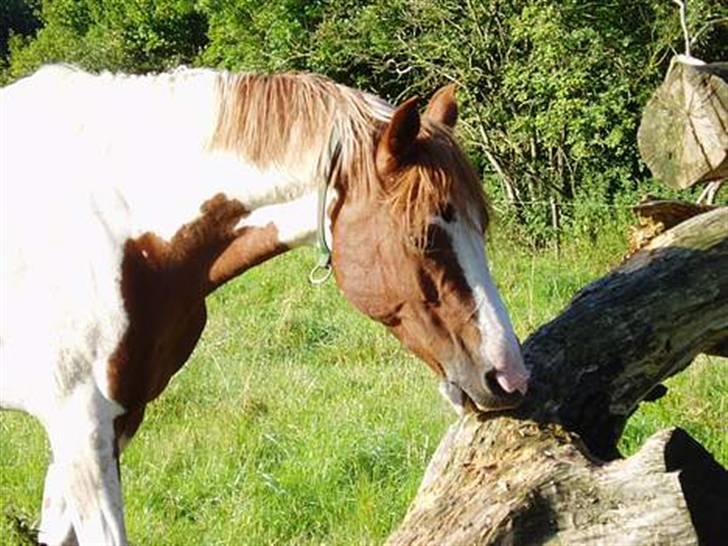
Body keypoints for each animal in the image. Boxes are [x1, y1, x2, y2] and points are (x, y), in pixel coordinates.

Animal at [0, 65, 528, 544]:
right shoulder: (82, 427)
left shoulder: (118, 419)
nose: (509, 377)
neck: (119, 233)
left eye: (482, 224)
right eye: (424, 237)